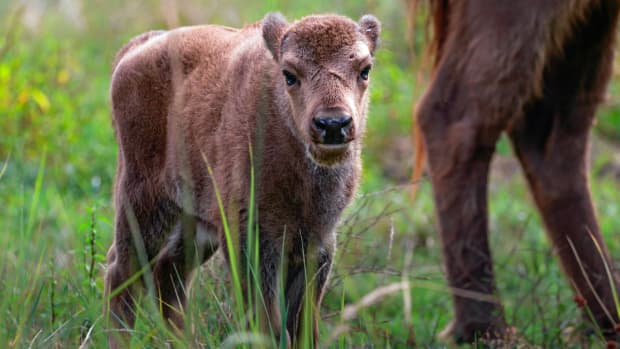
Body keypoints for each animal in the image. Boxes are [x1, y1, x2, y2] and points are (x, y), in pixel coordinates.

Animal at [104, 12, 380, 346]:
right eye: (289, 74)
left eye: (364, 70)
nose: (333, 124)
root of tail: (135, 49)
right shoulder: (252, 240)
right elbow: (266, 322)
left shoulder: (317, 242)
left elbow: (303, 325)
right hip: (143, 204)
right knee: (122, 273)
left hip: (194, 222)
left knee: (168, 274)